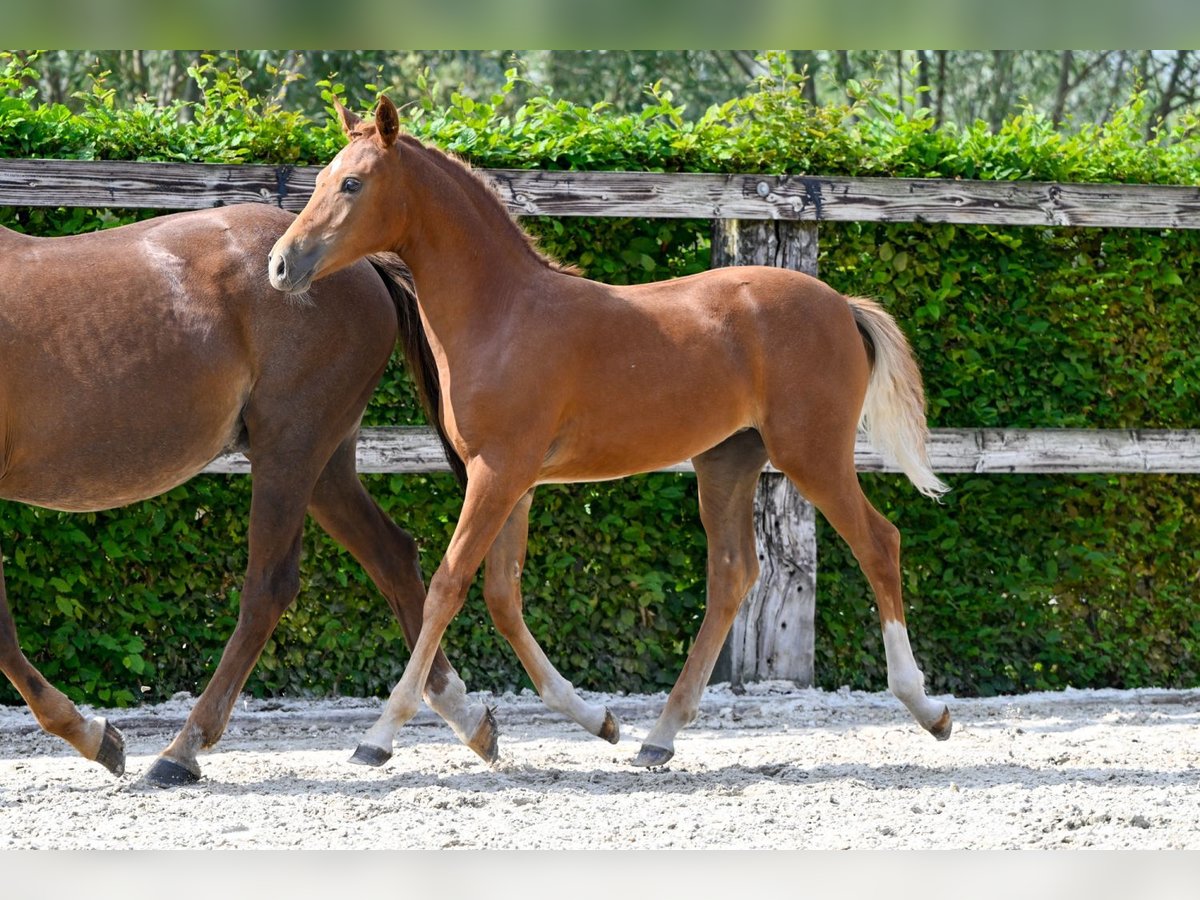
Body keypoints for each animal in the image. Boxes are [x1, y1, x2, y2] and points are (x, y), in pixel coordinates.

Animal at [0, 200, 496, 787]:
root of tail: (362, 264)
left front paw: (97, 738)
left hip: (289, 447)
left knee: (269, 588)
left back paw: (181, 751)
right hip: (325, 466)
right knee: (392, 555)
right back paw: (458, 717)